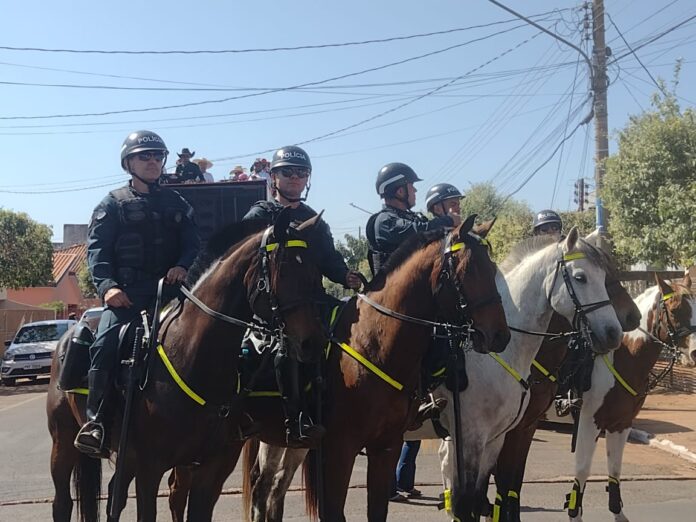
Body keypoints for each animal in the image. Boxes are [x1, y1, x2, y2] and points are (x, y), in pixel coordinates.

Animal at [47, 209, 328, 516]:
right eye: (285, 270)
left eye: (315, 272)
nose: (312, 343)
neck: (195, 358)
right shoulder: (149, 468)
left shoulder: (209, 469)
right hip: (64, 442)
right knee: (63, 502)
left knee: (115, 498)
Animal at [438, 230, 624, 516]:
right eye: (580, 277)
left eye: (604, 277)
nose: (614, 333)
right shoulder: (472, 436)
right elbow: (475, 498)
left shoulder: (501, 435)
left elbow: (493, 492)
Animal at [568, 272, 692, 520]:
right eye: (675, 311)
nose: (694, 353)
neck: (623, 357)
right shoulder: (589, 421)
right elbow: (583, 469)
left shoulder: (621, 423)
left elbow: (615, 469)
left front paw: (618, 512)